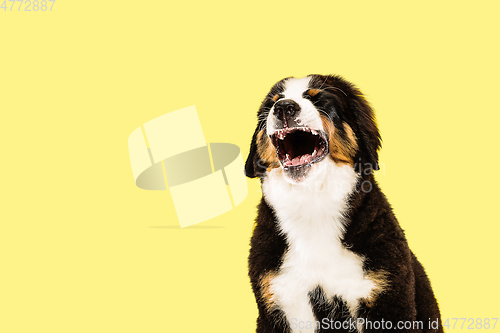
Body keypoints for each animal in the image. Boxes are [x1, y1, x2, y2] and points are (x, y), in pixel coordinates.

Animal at [244, 75, 444, 332]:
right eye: (271, 104)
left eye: (318, 99)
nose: (284, 107)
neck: (313, 207)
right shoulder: (275, 301)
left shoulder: (388, 297)